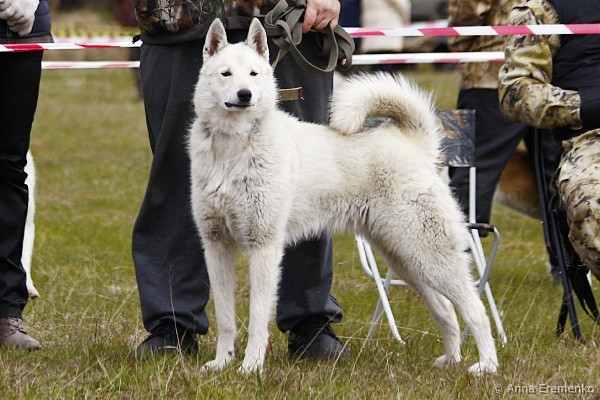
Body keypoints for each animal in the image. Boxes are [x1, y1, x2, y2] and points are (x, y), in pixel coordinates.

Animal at [188, 18, 499, 375]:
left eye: (253, 73)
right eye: (225, 73)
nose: (245, 95)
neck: (235, 148)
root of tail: (415, 146)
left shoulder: (263, 248)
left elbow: (256, 320)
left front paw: (251, 367)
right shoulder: (216, 246)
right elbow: (226, 319)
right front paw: (221, 363)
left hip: (429, 256)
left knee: (475, 310)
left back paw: (486, 365)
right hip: (407, 260)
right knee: (446, 310)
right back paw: (450, 361)